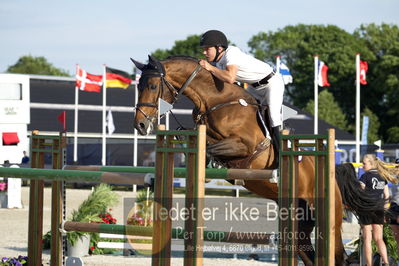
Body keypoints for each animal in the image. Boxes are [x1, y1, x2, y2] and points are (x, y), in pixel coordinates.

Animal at [133, 55, 386, 264]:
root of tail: (333, 174)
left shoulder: (243, 146)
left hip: (328, 217)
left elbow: (214, 148)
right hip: (300, 221)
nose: (141, 125)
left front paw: (211, 161)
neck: (215, 101)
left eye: (153, 86)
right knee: (307, 252)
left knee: (337, 255)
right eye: (138, 86)